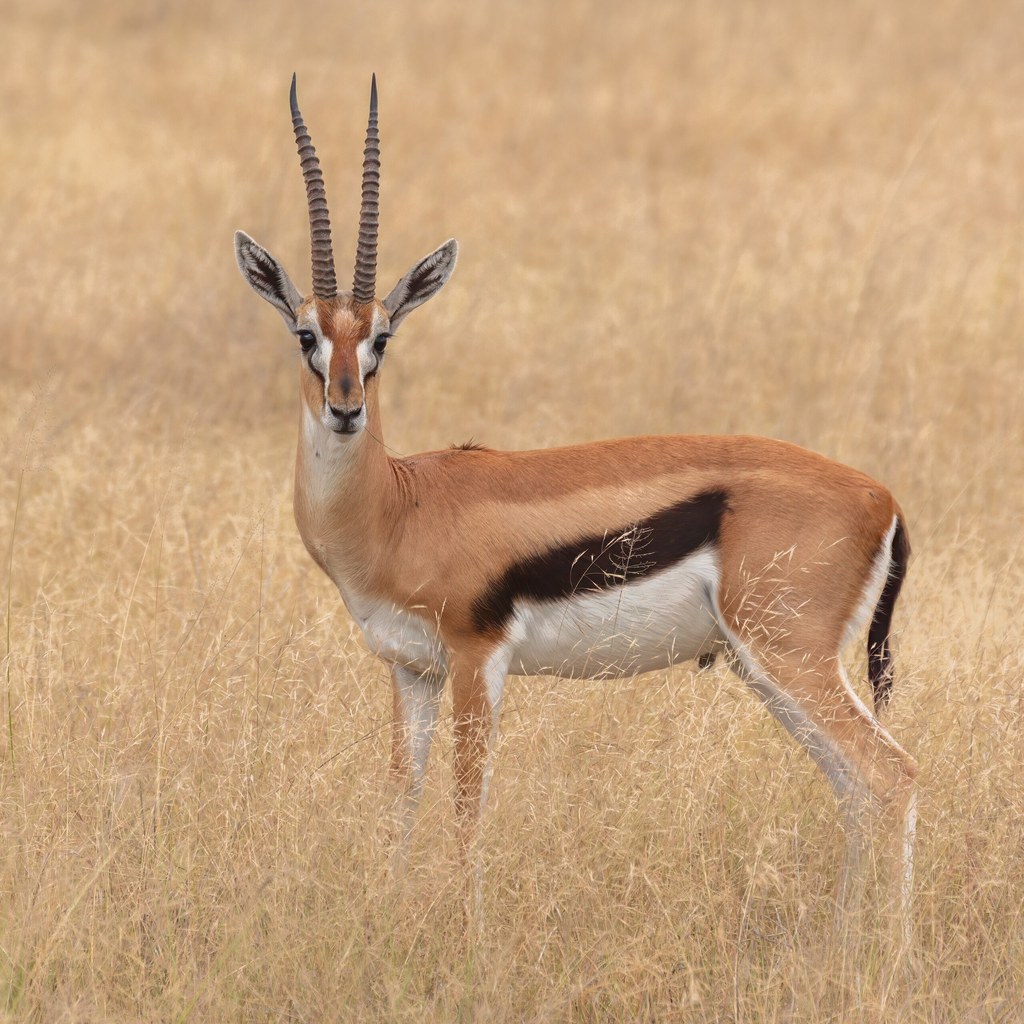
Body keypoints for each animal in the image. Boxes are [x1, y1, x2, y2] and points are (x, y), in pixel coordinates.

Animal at [234, 75, 918, 924]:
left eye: (381, 338)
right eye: (306, 335)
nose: (345, 407)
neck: (399, 506)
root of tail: (882, 497)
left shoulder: (477, 659)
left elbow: (466, 807)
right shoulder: (411, 670)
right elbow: (401, 801)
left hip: (789, 658)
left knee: (892, 778)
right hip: (770, 669)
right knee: (854, 790)